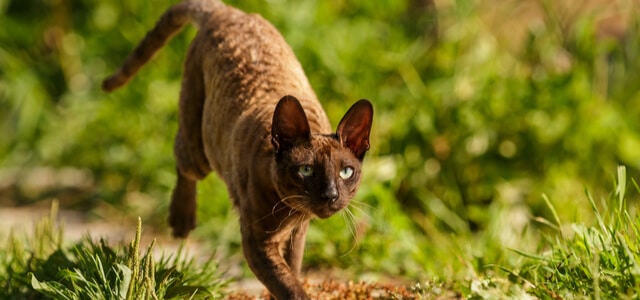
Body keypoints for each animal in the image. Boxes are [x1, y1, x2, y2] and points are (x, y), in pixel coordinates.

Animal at [102, 0, 372, 300]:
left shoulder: (296, 235)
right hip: (200, 148)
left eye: (346, 172)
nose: (330, 195)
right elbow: (287, 285)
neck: (291, 213)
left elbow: (291, 272)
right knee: (183, 161)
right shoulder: (257, 241)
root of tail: (229, 12)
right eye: (306, 170)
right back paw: (181, 221)